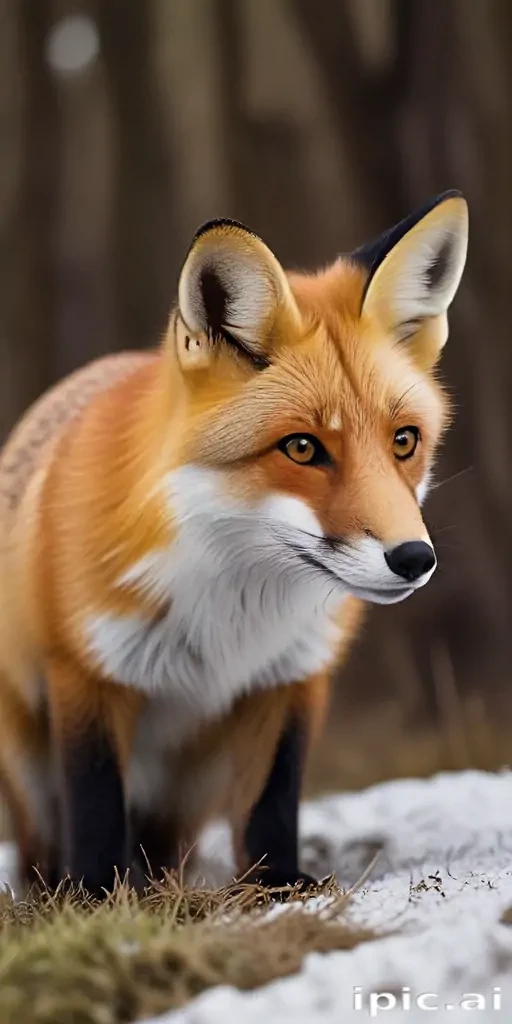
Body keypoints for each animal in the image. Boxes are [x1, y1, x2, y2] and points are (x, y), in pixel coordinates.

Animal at [0, 191, 468, 896]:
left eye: (404, 441)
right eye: (301, 448)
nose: (414, 559)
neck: (233, 616)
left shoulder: (292, 677)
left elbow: (272, 803)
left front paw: (277, 888)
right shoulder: (85, 674)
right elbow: (96, 806)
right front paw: (96, 897)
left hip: (187, 787)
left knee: (165, 847)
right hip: (29, 759)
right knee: (43, 846)